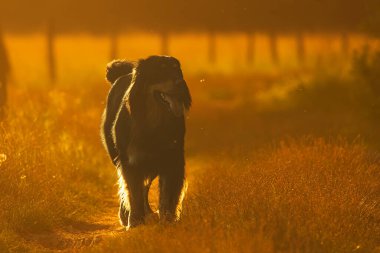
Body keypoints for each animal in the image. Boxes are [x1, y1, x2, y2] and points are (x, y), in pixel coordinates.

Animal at [101, 56, 191, 228]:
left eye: (177, 70)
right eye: (161, 71)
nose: (181, 84)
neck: (154, 123)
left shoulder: (172, 160)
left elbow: (168, 193)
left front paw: (167, 218)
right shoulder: (130, 161)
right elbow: (133, 192)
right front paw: (135, 220)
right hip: (118, 157)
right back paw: (128, 215)